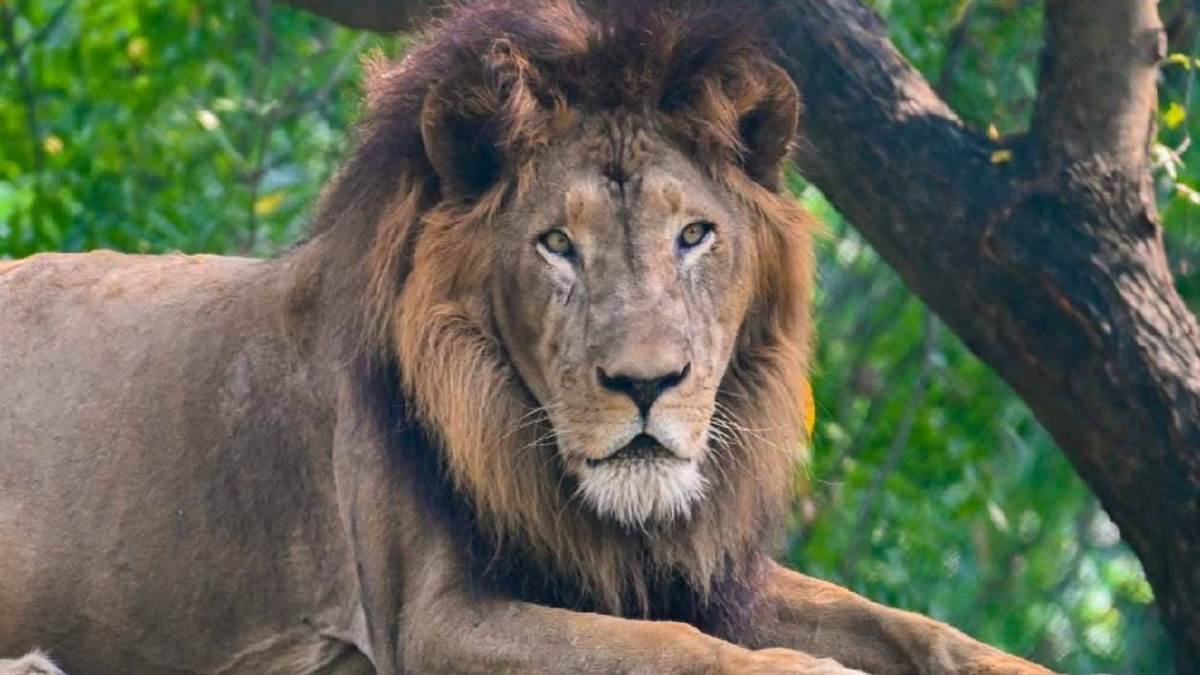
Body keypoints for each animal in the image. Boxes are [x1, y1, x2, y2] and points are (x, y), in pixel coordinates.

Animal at [0, 1, 1053, 673]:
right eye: (557, 243)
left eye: (694, 234)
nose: (646, 384)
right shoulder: (428, 622)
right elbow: (670, 651)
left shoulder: (691, 571)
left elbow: (906, 623)